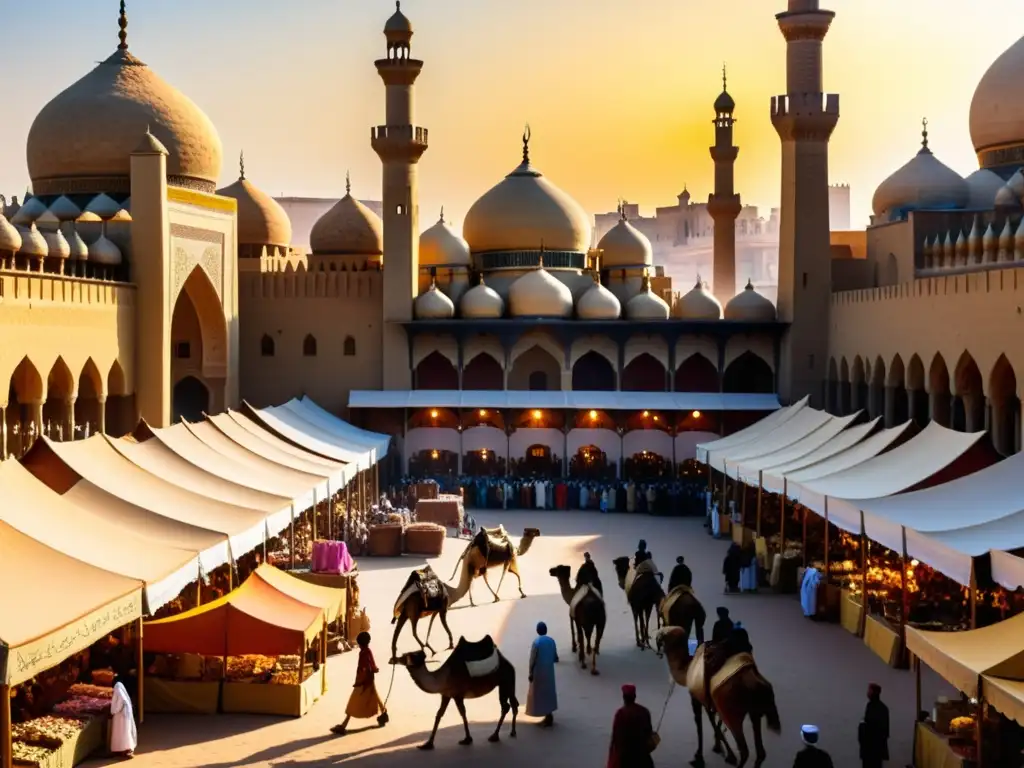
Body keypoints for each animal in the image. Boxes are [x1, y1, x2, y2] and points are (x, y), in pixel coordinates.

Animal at [659, 626, 778, 768]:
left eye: (664, 636)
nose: (658, 644)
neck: (686, 669)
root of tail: (758, 684)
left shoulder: (696, 697)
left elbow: (700, 723)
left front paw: (699, 757)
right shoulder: (710, 700)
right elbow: (714, 721)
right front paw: (720, 748)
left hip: (733, 714)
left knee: (744, 750)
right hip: (754, 712)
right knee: (760, 753)